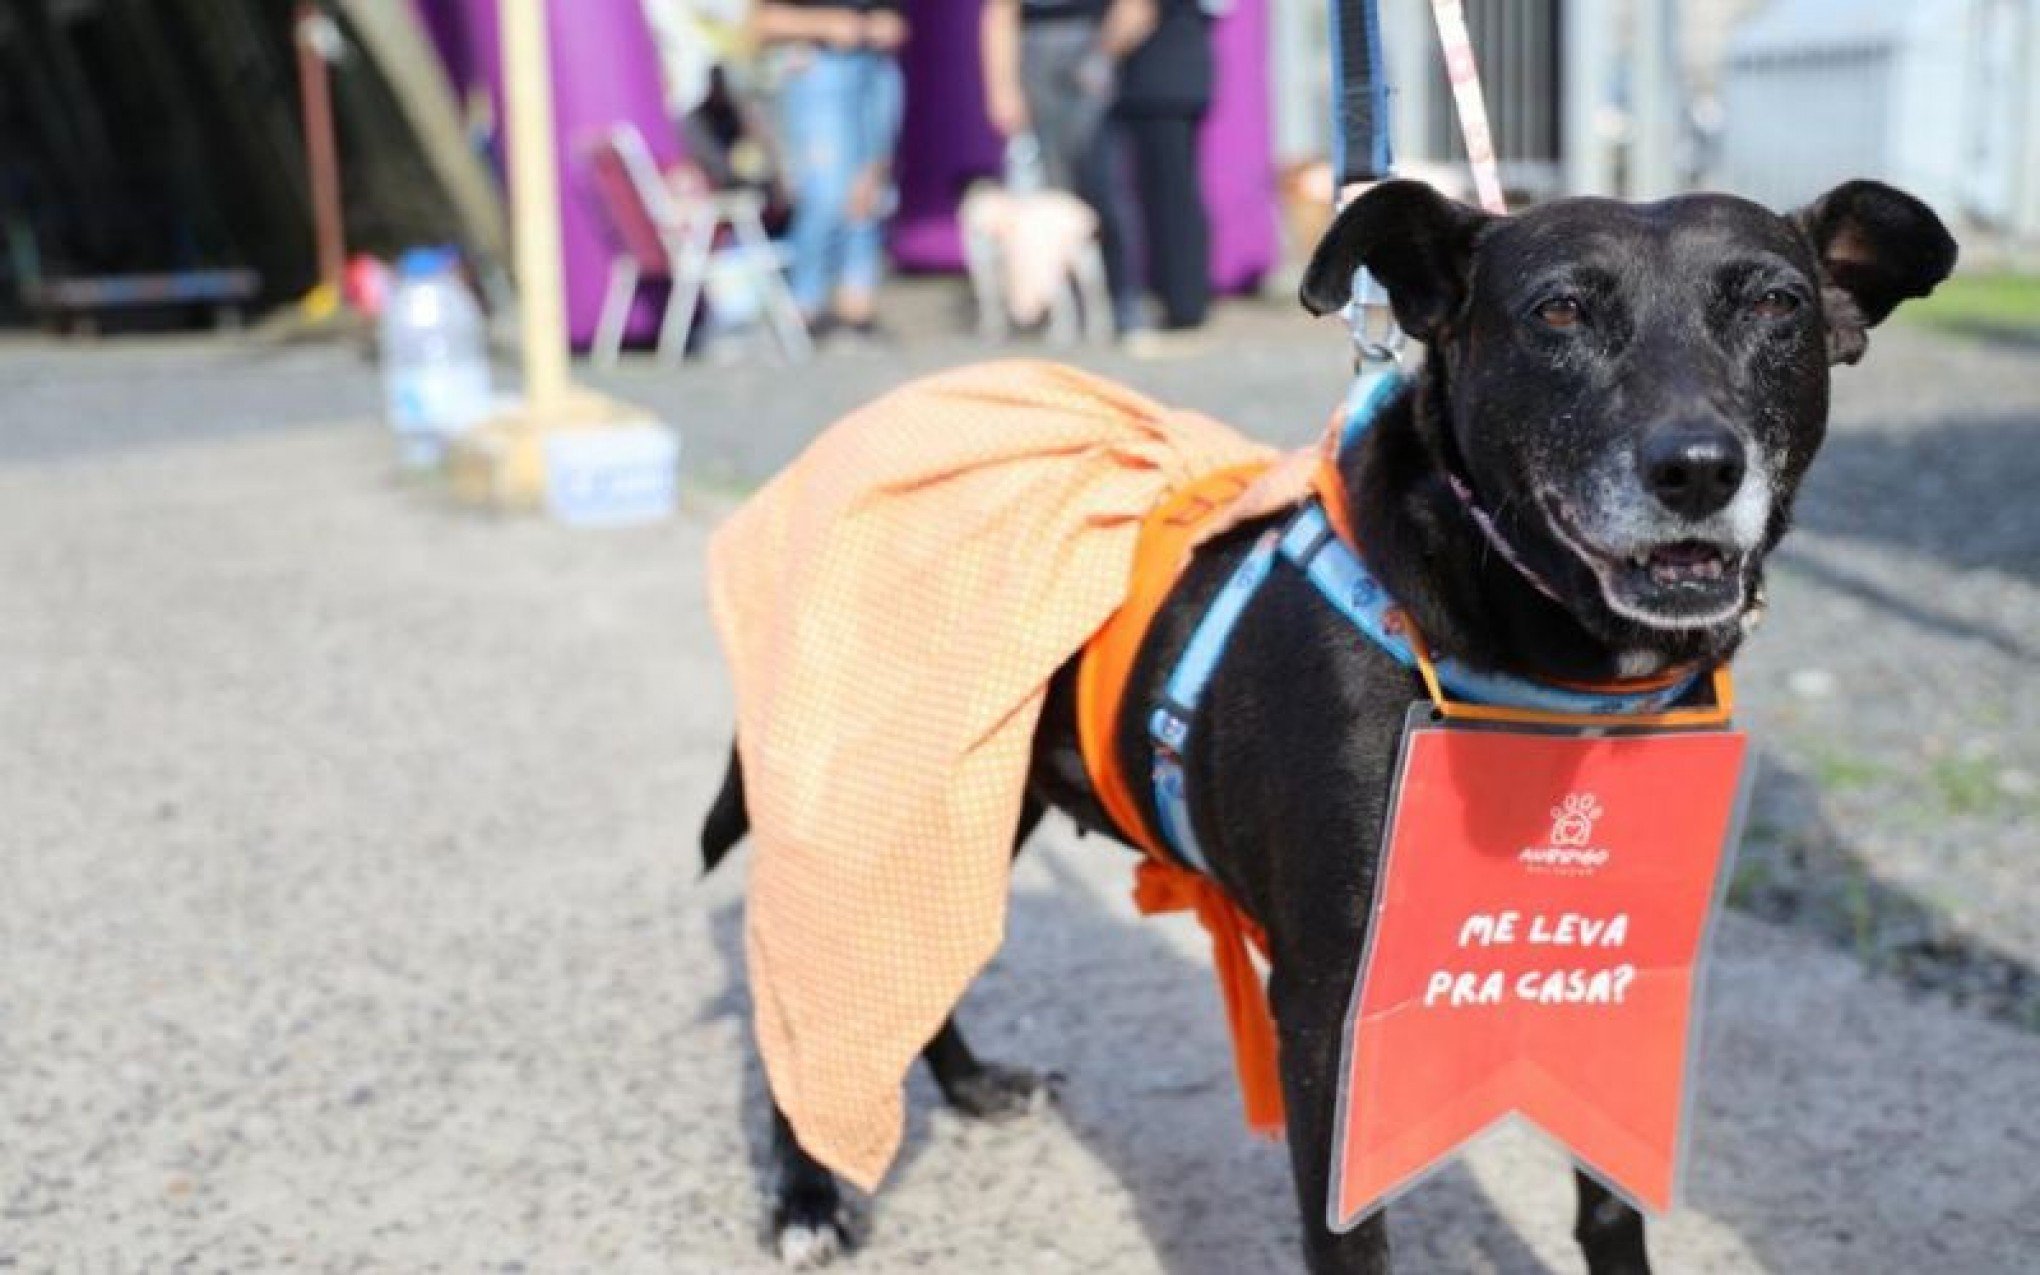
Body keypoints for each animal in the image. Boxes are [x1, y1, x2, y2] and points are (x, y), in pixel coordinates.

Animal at [705, 176, 1958, 1264]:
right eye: (1558, 310)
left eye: (1777, 306)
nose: (1696, 469)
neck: (1532, 666)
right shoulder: (1324, 1008)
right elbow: (1351, 1237)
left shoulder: (1611, 968)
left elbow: (1610, 1208)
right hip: (873, 793)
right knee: (814, 997)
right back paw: (809, 1196)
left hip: (971, 793)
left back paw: (968, 1088)